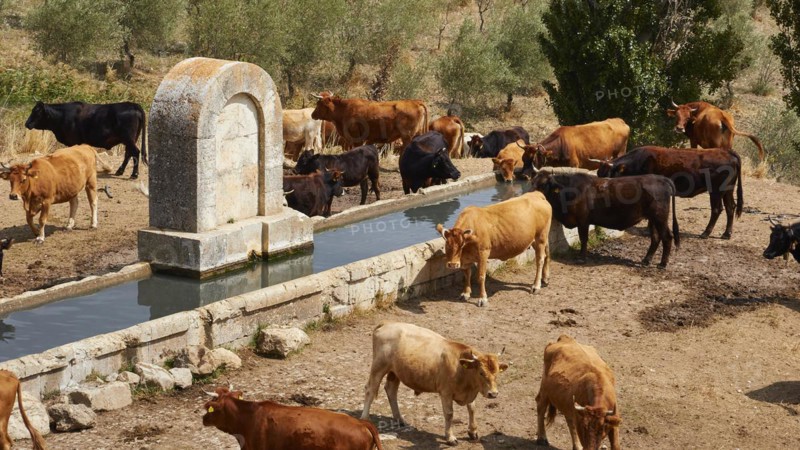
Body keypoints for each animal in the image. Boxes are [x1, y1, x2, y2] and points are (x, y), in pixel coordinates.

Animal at [361, 322, 508, 446]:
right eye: (481, 373)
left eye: (497, 373)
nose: (493, 394)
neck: (460, 367)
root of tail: (387, 323)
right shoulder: (446, 393)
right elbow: (449, 414)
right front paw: (450, 437)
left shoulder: (470, 392)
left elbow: (472, 409)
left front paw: (473, 432)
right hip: (379, 367)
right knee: (370, 389)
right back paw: (365, 418)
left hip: (395, 372)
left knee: (391, 390)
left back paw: (399, 419)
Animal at [530, 168, 680, 268]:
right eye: (533, 184)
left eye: (544, 185)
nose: (533, 197)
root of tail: (661, 178)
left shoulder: (583, 221)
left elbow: (583, 239)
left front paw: (581, 257)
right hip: (652, 219)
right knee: (655, 238)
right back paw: (646, 260)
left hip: (660, 218)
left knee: (667, 237)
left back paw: (662, 264)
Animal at [597, 146, 743, 239]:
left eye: (606, 175)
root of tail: (727, 151)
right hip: (728, 190)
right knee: (730, 208)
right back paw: (726, 234)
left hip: (716, 191)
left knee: (717, 209)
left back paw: (706, 233)